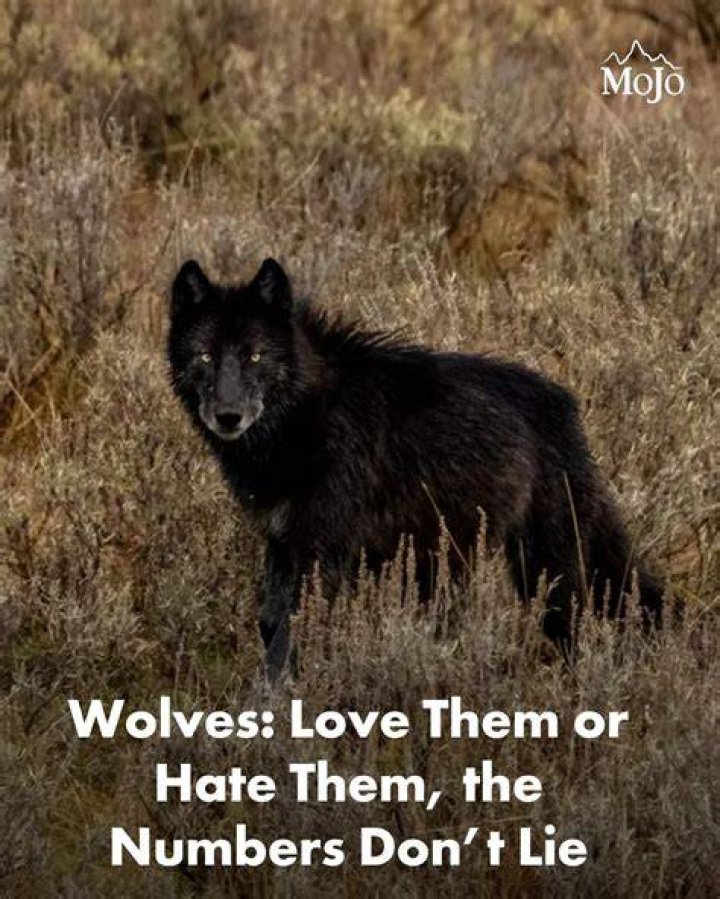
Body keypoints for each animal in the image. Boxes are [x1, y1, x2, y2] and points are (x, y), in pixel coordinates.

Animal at [168, 257, 663, 677]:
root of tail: (566, 403)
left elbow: (287, 634)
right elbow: (270, 622)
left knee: (578, 623)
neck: (306, 414)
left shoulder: (321, 552)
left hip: (545, 568)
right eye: (206, 356)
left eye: (254, 356)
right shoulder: (283, 541)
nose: (228, 416)